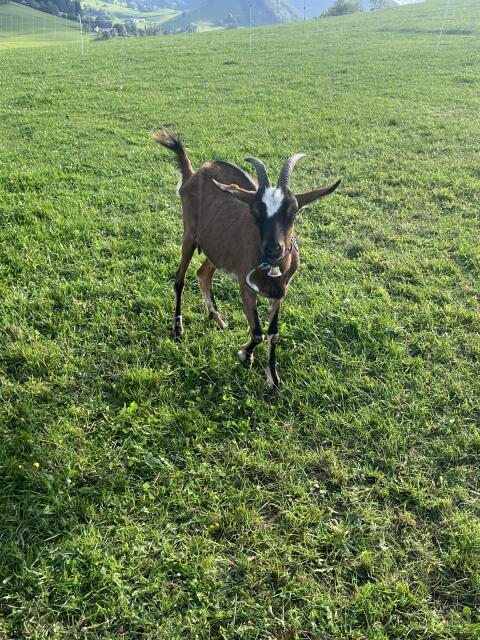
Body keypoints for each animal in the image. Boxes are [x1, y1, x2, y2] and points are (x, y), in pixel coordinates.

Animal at [153, 129, 340, 387]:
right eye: (255, 211)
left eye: (293, 212)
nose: (273, 249)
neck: (271, 269)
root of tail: (194, 173)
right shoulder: (245, 285)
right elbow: (258, 332)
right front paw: (245, 355)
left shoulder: (280, 292)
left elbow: (273, 333)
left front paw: (272, 376)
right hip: (189, 235)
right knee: (179, 279)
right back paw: (178, 327)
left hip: (216, 248)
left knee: (203, 274)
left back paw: (217, 317)